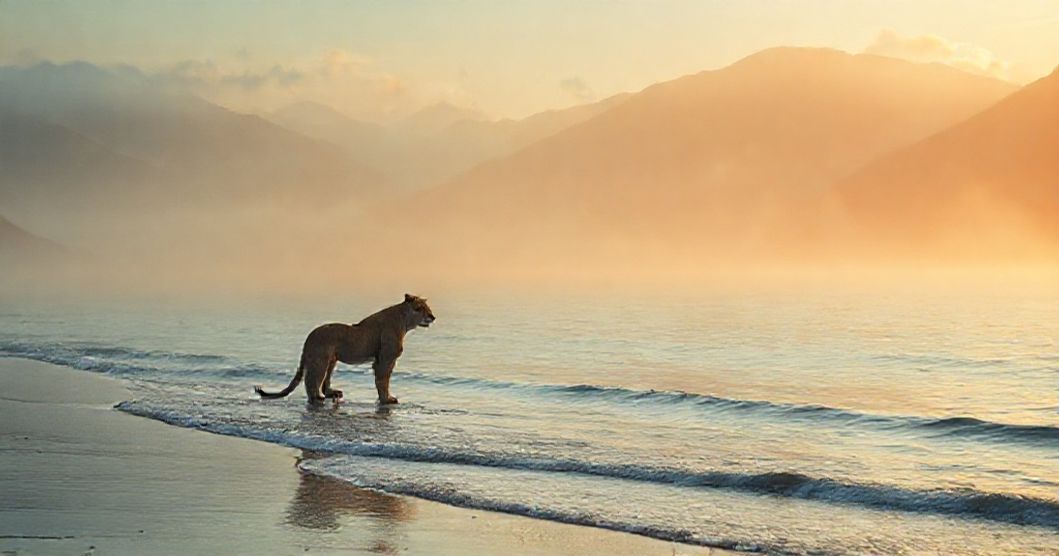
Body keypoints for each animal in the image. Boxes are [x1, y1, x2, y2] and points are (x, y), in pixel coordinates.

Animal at [254, 294, 435, 404]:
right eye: (420, 308)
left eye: (428, 308)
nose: (432, 317)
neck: (404, 321)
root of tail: (310, 336)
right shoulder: (385, 359)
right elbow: (383, 381)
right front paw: (387, 399)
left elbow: (382, 381)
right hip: (321, 361)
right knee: (311, 381)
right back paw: (317, 398)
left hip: (331, 360)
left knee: (323, 383)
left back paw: (333, 394)